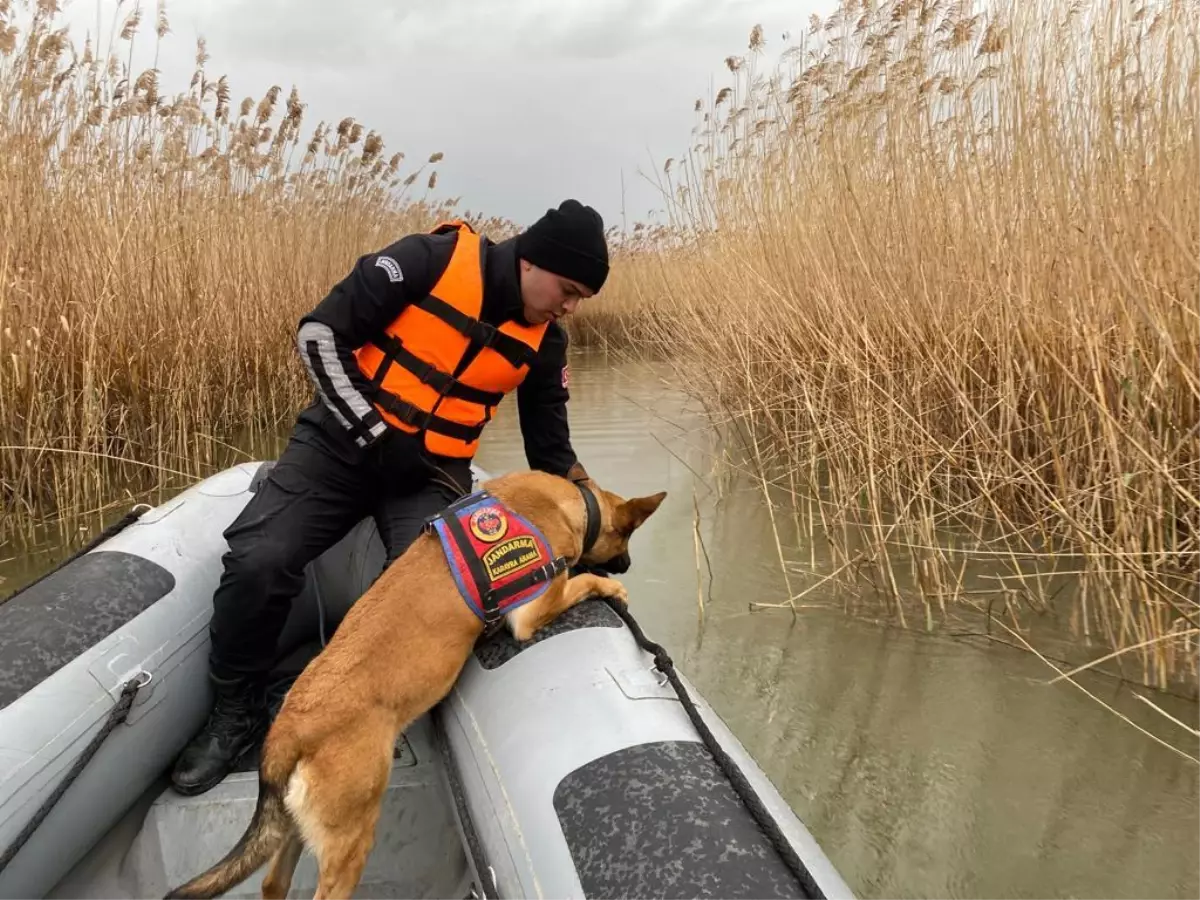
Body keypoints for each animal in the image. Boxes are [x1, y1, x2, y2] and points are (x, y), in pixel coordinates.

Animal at [162, 472, 667, 900]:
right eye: (626, 537)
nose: (627, 566)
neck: (567, 501)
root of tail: (288, 731)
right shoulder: (533, 612)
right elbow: (581, 583)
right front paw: (609, 588)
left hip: (293, 830)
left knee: (273, 883)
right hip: (349, 842)